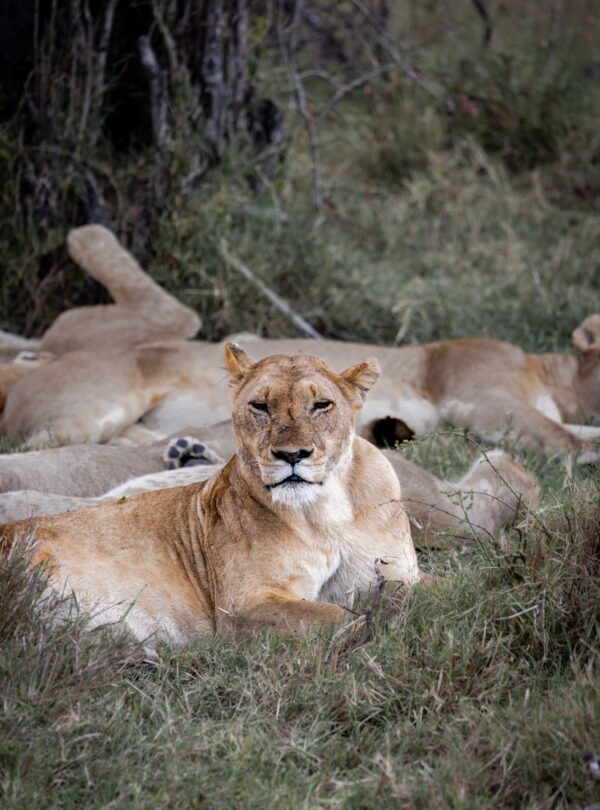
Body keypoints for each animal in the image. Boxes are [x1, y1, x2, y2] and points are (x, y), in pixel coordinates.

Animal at [1, 346, 432, 644]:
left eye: (321, 405)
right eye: (260, 405)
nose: (292, 455)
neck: (323, 511)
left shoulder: (400, 573)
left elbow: (431, 594)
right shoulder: (242, 606)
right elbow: (337, 616)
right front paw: (369, 630)